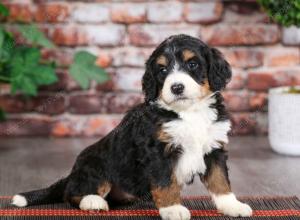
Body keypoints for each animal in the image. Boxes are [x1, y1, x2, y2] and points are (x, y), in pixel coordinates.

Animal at [13, 35, 253, 219]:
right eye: (162, 70)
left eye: (192, 64)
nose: (176, 87)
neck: (189, 112)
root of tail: (72, 173)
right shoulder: (158, 151)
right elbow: (166, 182)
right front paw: (172, 208)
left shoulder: (214, 148)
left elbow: (220, 181)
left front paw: (232, 206)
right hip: (96, 165)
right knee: (72, 193)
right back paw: (92, 201)